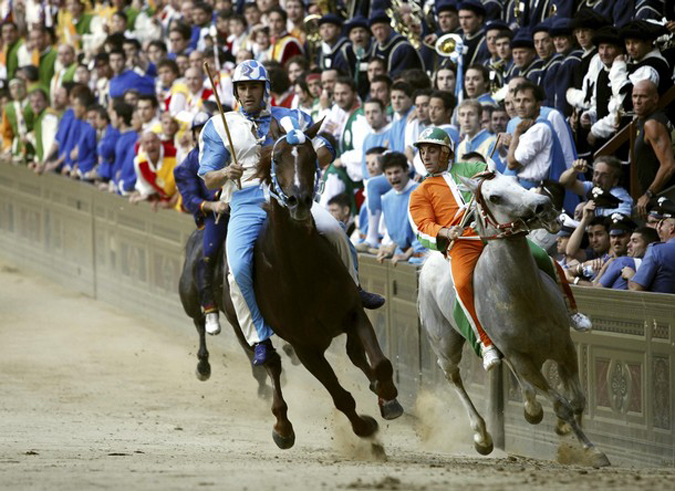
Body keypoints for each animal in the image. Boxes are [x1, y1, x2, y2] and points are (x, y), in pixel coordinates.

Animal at [177, 120, 404, 450]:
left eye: (311, 157)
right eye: (276, 157)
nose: (299, 200)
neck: (301, 272)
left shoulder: (353, 313)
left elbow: (380, 363)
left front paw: (388, 400)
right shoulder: (305, 346)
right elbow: (340, 397)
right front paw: (366, 430)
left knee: (353, 355)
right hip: (233, 317)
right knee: (268, 360)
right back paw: (282, 426)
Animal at [418, 172, 612, 468]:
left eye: (517, 183)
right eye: (495, 197)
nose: (545, 205)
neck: (524, 297)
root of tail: (429, 261)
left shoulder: (564, 347)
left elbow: (578, 399)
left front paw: (567, 433)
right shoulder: (523, 360)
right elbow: (562, 405)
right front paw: (591, 450)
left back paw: (532, 408)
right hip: (445, 345)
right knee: (453, 376)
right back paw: (482, 436)